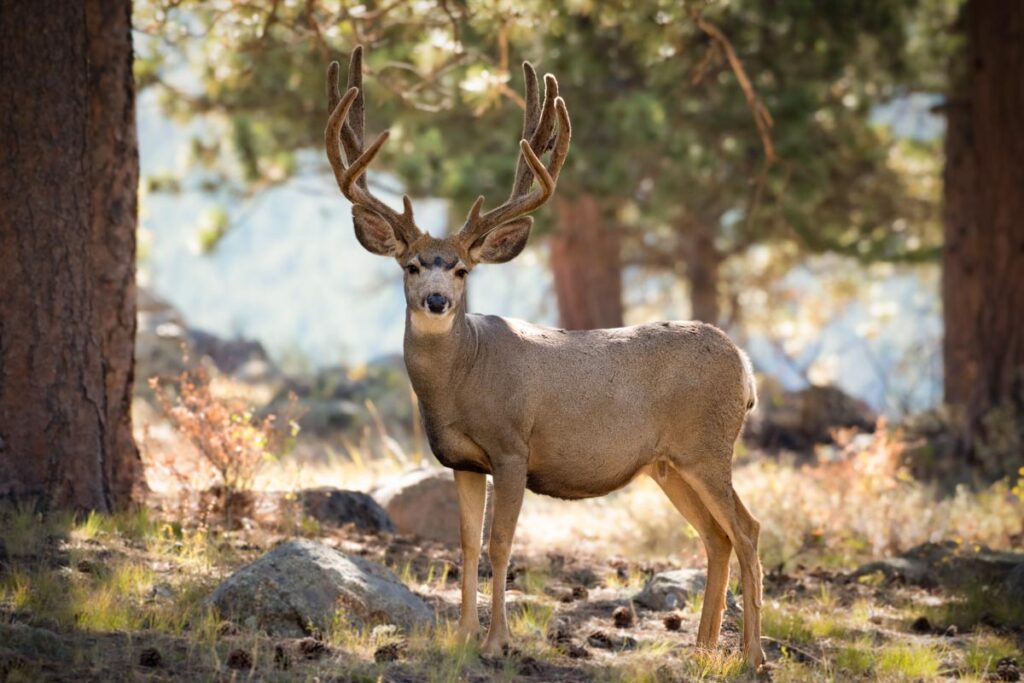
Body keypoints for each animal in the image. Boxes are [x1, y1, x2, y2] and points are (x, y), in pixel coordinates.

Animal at [323, 46, 765, 667]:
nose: (436, 300)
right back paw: (701, 650)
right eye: (411, 265)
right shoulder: (463, 461)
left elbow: (501, 543)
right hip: (669, 463)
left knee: (747, 530)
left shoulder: (512, 448)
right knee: (716, 536)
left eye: (462, 269)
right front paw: (462, 636)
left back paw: (752, 655)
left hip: (708, 446)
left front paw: (497, 641)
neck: (464, 379)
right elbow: (465, 543)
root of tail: (747, 370)